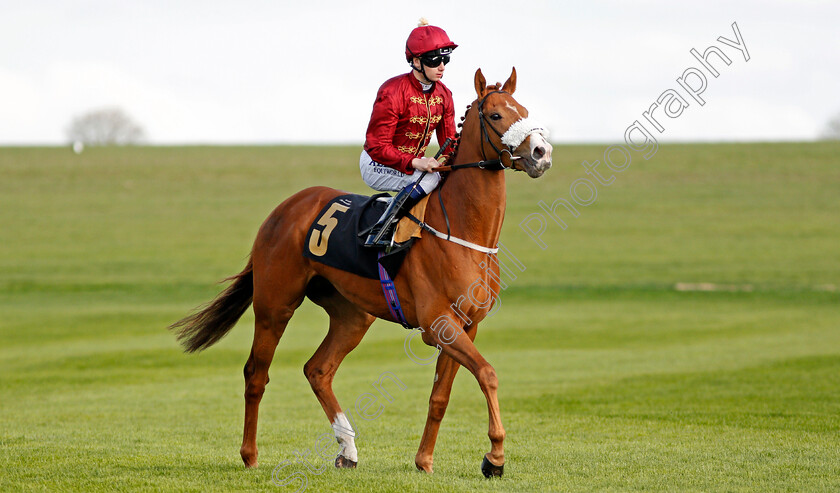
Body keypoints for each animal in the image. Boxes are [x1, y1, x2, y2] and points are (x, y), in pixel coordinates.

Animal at [170, 68, 552, 476]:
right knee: (256, 374)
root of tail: (284, 208)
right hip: (275, 304)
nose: (541, 152)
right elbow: (488, 374)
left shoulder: (466, 325)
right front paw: (494, 456)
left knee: (318, 369)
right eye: (496, 115)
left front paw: (425, 461)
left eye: (524, 110)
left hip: (352, 315)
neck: (464, 232)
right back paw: (250, 455)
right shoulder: (438, 325)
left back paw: (347, 449)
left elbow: (441, 396)